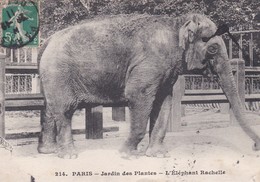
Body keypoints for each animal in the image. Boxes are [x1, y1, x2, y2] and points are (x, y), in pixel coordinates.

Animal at [37, 13, 260, 158]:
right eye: (213, 49)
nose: (255, 147)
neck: (177, 24)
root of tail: (47, 41)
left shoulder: (166, 71)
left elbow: (164, 102)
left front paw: (157, 155)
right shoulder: (148, 64)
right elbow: (139, 97)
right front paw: (127, 154)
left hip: (51, 77)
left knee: (49, 108)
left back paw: (47, 151)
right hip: (59, 73)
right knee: (64, 110)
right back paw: (69, 156)